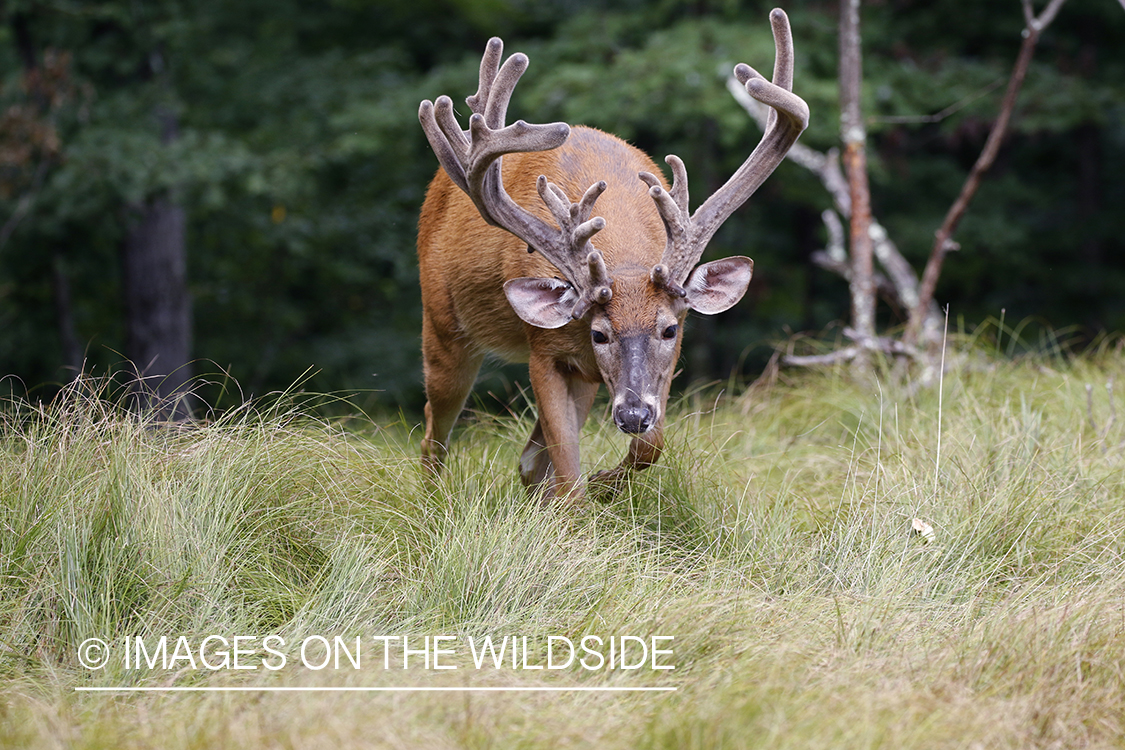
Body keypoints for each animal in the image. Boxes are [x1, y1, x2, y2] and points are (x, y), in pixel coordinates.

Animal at [418, 7, 805, 503]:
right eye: (599, 333)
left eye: (669, 329)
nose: (632, 415)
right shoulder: (544, 348)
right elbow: (567, 470)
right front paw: (584, 501)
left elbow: (648, 446)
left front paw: (605, 480)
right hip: (443, 326)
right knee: (434, 430)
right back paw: (433, 500)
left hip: (583, 378)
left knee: (526, 459)